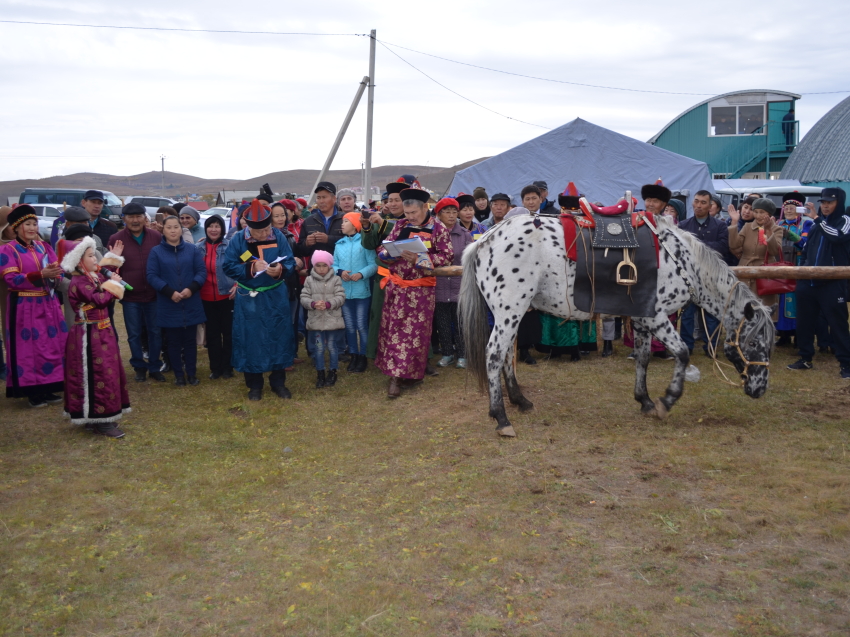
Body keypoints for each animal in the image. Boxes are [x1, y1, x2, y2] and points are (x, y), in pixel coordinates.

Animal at [458, 204, 776, 438]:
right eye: (755, 343)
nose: (759, 390)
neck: (681, 260)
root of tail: (485, 239)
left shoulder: (643, 319)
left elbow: (643, 358)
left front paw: (645, 400)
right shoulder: (657, 317)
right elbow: (682, 353)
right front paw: (667, 400)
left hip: (512, 313)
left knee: (506, 355)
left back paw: (520, 401)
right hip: (509, 311)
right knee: (494, 354)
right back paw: (501, 418)